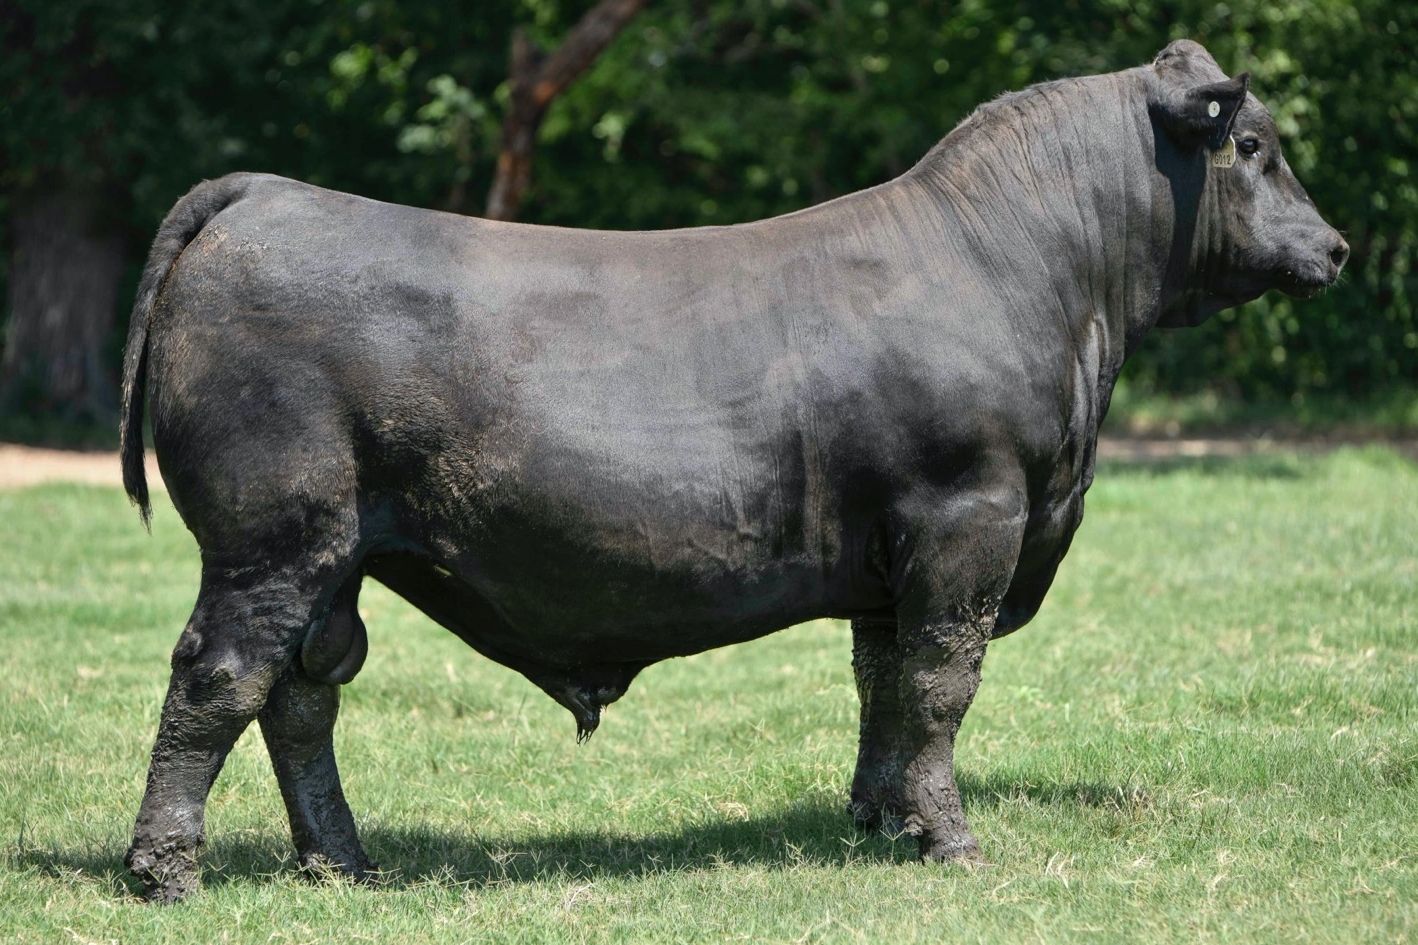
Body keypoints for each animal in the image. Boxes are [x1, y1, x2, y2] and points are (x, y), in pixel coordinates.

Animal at [119, 40, 1338, 902]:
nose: (1331, 247)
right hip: (272, 537)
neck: (1028, 276)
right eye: (1250, 148)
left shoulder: (891, 554)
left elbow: (881, 683)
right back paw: (165, 872)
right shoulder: (970, 517)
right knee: (220, 676)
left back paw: (343, 864)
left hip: (334, 557)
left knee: (302, 694)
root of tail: (267, 194)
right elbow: (942, 682)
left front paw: (880, 819)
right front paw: (948, 838)